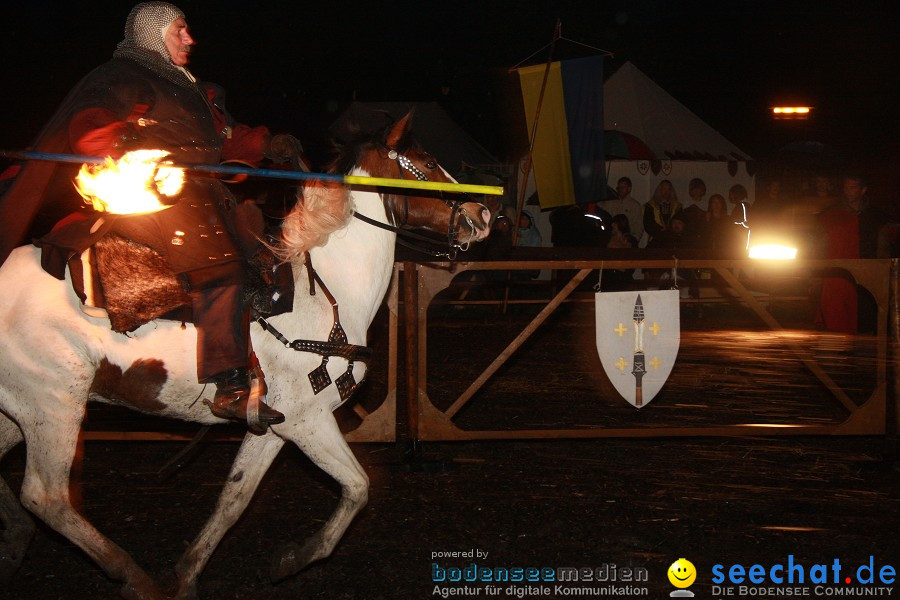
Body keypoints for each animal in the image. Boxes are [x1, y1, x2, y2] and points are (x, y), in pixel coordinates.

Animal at [0, 113, 492, 600]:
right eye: (426, 163)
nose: (484, 213)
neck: (327, 288)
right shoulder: (308, 420)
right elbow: (357, 486)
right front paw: (294, 557)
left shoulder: (274, 427)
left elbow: (232, 501)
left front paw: (187, 575)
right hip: (53, 405)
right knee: (46, 497)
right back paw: (132, 576)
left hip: (19, 412)